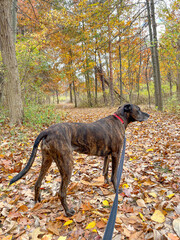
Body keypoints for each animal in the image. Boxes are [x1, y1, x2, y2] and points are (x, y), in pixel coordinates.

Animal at [9, 104, 149, 217]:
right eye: (138, 109)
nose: (148, 115)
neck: (119, 119)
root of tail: (47, 131)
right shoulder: (116, 154)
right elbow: (114, 175)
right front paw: (116, 190)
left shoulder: (107, 155)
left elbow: (105, 170)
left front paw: (105, 182)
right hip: (67, 164)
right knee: (61, 193)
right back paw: (68, 212)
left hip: (47, 160)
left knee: (37, 183)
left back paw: (37, 201)